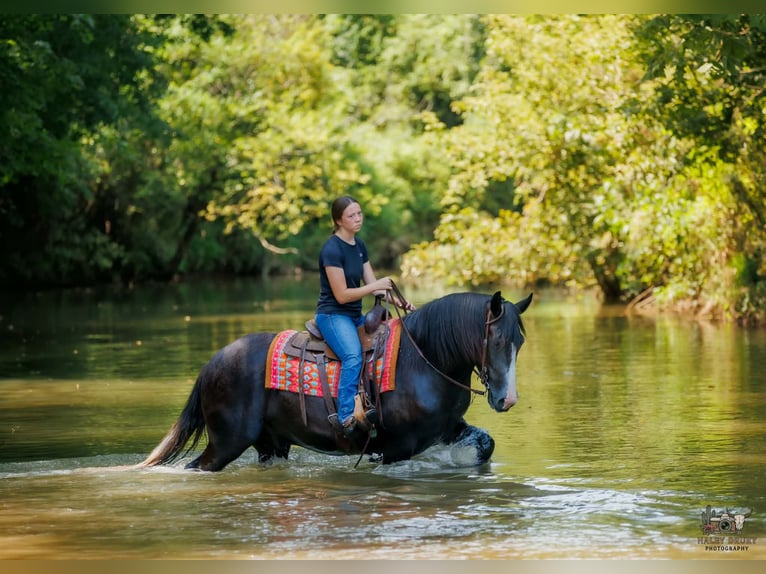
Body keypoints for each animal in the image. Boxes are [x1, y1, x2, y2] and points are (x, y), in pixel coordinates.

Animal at [138, 290, 533, 472]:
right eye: (498, 340)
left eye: (520, 341)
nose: (507, 399)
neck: (426, 359)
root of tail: (212, 363)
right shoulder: (397, 448)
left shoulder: (447, 428)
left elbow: (485, 445)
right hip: (225, 443)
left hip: (270, 444)